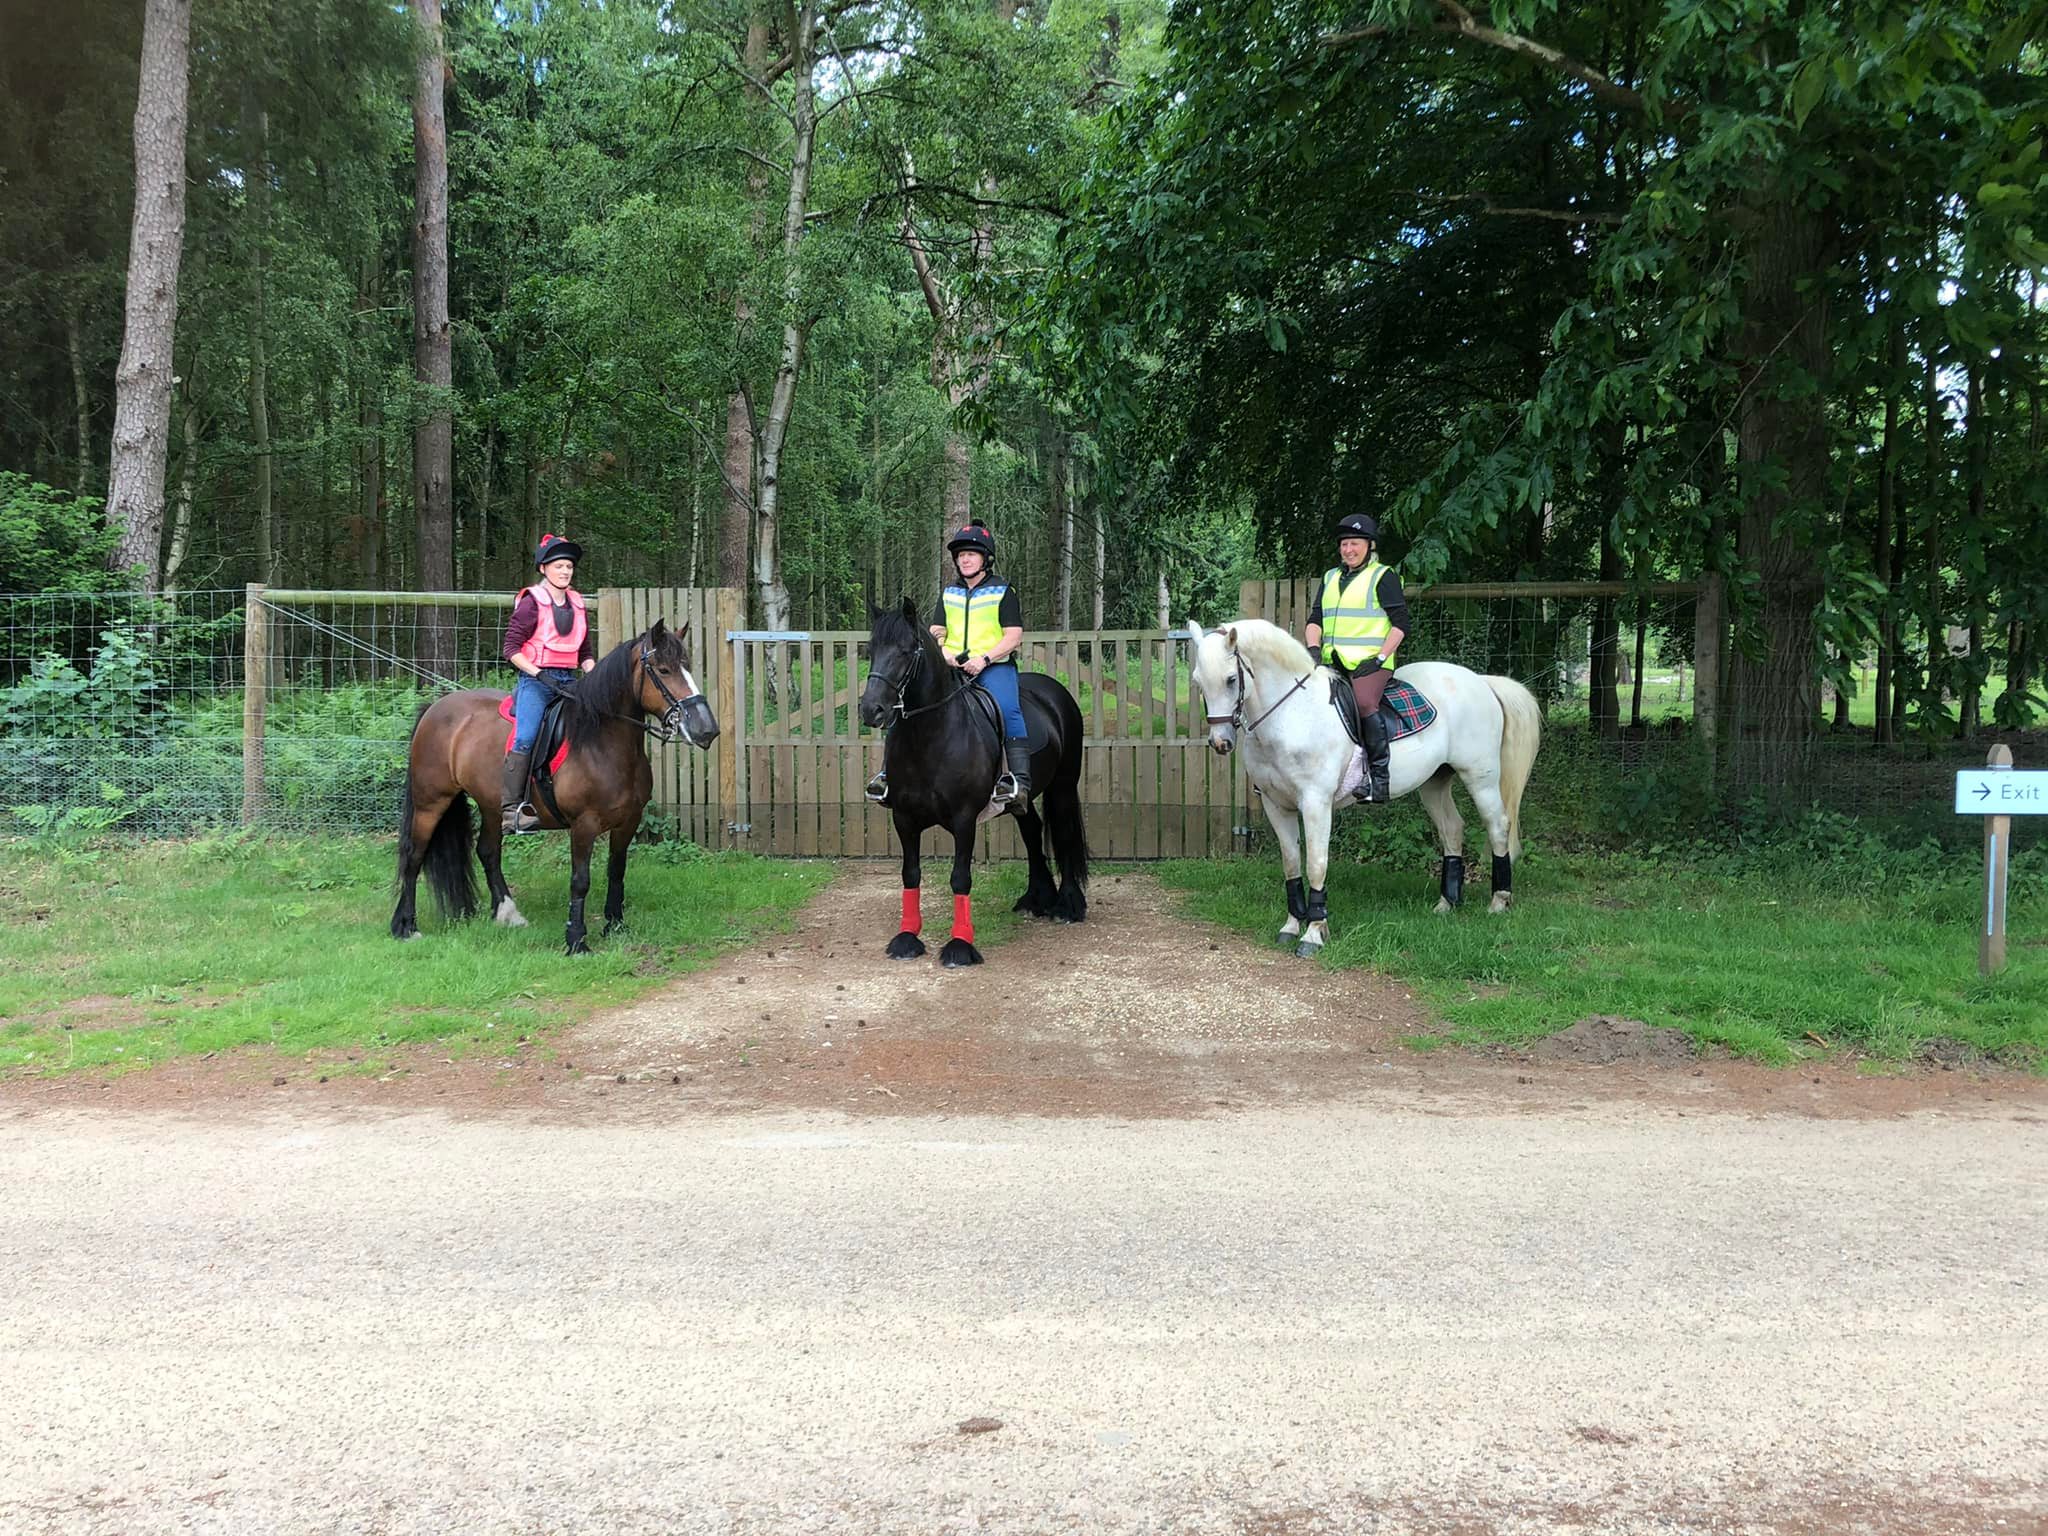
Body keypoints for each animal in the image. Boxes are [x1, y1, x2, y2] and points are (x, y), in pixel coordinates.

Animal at [391, 618, 720, 958]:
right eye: (664, 670)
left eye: (687, 666)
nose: (706, 729)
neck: (600, 743)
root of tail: (435, 707)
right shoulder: (583, 824)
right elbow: (580, 880)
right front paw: (576, 940)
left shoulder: (629, 820)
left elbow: (617, 870)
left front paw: (615, 925)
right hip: (431, 802)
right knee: (414, 855)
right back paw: (405, 926)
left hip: (492, 806)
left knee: (488, 852)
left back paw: (507, 914)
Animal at [860, 598, 1089, 966]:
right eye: (872, 649)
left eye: (907, 651)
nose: (872, 710)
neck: (930, 736)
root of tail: (1055, 691)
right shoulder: (904, 819)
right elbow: (910, 874)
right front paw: (907, 938)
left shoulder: (964, 819)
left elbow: (960, 878)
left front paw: (960, 945)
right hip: (1021, 800)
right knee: (1032, 830)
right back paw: (1036, 898)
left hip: (1064, 785)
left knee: (1065, 833)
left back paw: (1067, 905)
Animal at [1187, 618, 1540, 958]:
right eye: (1198, 682)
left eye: (1231, 679)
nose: (1221, 743)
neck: (1292, 715)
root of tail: (1481, 682)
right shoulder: (1277, 805)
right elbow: (1291, 863)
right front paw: (1290, 926)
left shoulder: (1315, 804)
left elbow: (1316, 864)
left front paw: (1314, 934)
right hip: (1434, 782)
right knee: (1452, 829)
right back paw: (1446, 904)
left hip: (1480, 776)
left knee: (1498, 827)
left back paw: (1499, 901)